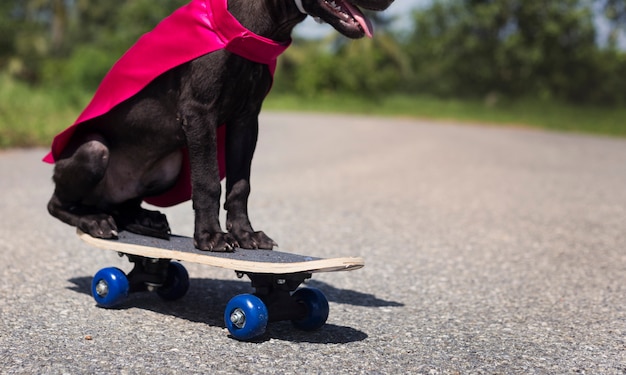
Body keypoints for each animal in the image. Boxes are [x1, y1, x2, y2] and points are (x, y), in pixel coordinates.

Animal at [46, 0, 392, 254]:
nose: (389, 1)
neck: (247, 30)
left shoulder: (247, 119)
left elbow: (240, 185)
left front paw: (245, 234)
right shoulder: (199, 113)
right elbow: (208, 182)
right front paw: (211, 236)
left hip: (168, 167)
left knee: (122, 204)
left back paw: (144, 219)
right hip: (93, 151)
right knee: (57, 204)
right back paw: (94, 221)